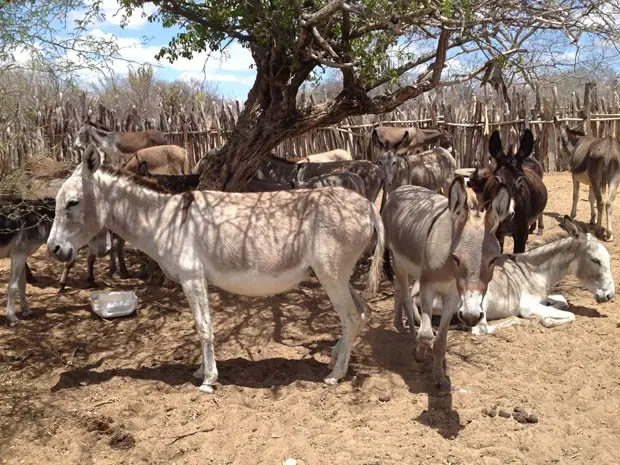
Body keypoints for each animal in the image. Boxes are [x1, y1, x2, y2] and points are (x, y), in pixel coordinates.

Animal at [48, 144, 386, 392]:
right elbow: (204, 326)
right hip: (337, 275)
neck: (165, 220)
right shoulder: (196, 280)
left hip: (331, 274)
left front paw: (208, 379)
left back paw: (336, 374)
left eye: (72, 203)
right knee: (360, 311)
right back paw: (335, 358)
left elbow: (203, 327)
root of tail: (368, 207)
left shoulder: (192, 278)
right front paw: (202, 370)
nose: (53, 249)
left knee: (350, 316)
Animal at [382, 178, 512, 392]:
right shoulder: (427, 287)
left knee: (400, 291)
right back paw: (409, 332)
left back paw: (400, 324)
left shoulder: (454, 296)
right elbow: (426, 334)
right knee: (406, 296)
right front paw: (419, 354)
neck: (448, 269)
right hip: (398, 261)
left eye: (494, 260)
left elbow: (441, 341)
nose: (471, 316)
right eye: (456, 258)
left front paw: (440, 378)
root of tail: (403, 187)